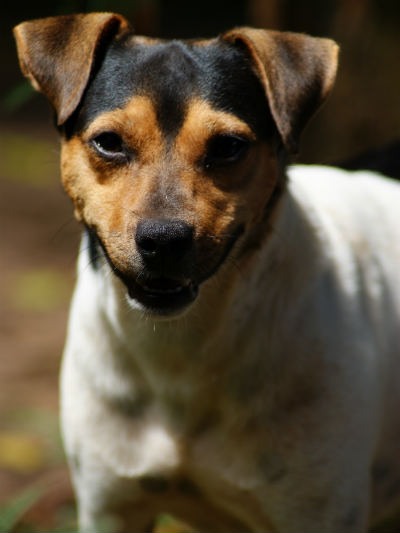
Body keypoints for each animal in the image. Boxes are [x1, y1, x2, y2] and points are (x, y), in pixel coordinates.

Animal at [14, 12, 400, 532]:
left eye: (228, 146)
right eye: (109, 143)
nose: (163, 240)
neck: (180, 353)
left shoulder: (318, 513)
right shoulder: (109, 505)